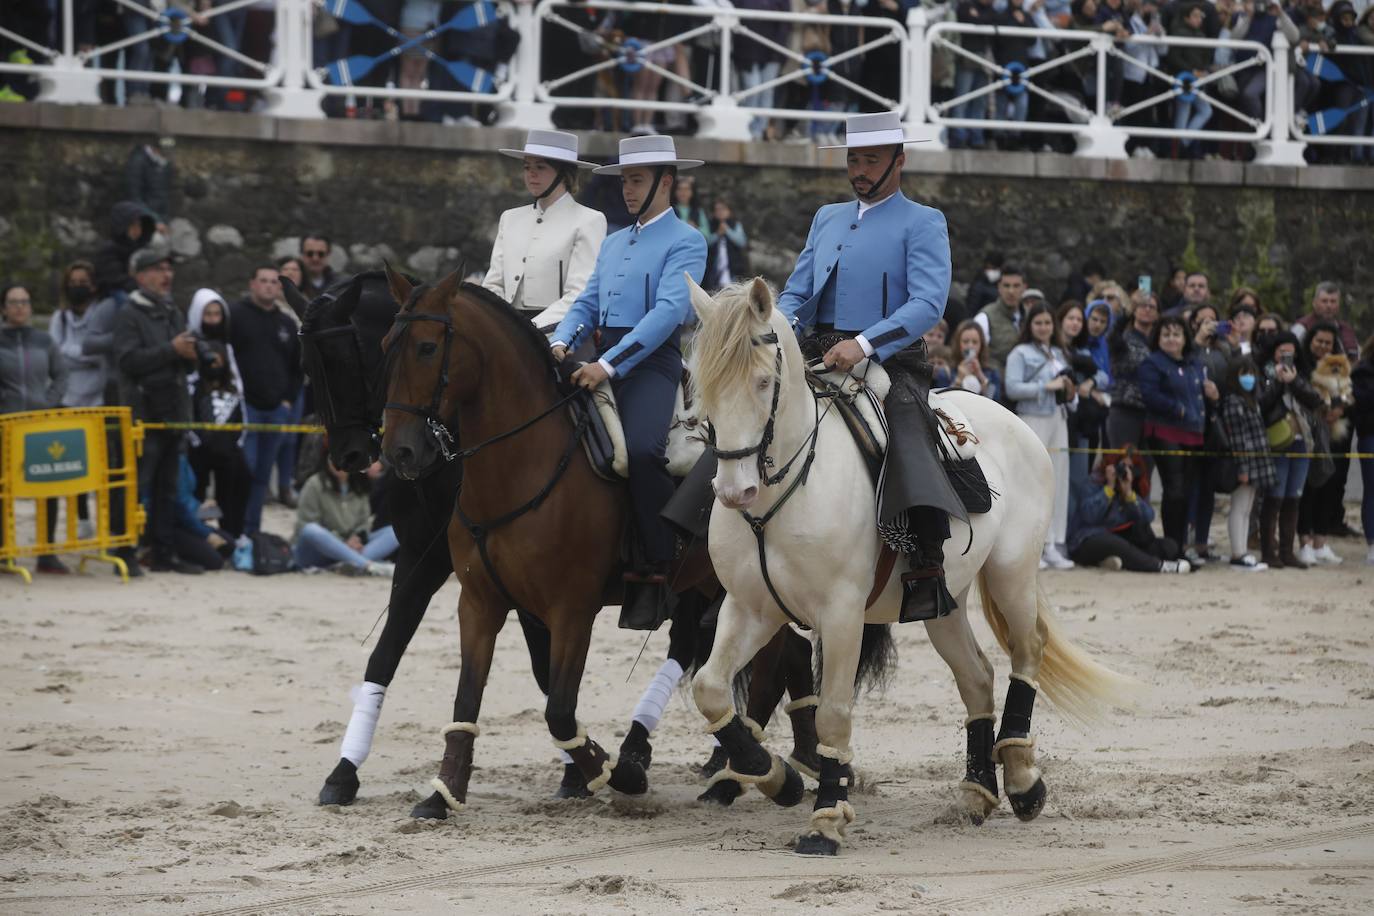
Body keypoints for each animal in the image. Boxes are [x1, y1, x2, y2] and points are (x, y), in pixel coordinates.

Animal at [687, 276, 1137, 856]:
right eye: (703, 383)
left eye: (764, 382)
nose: (733, 491)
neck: (784, 492)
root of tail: (1014, 420)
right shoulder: (750, 608)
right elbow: (710, 689)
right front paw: (774, 777)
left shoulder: (840, 614)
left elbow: (833, 712)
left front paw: (826, 820)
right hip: (943, 602)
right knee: (977, 676)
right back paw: (976, 793)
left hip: (1012, 574)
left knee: (1028, 651)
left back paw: (1021, 777)